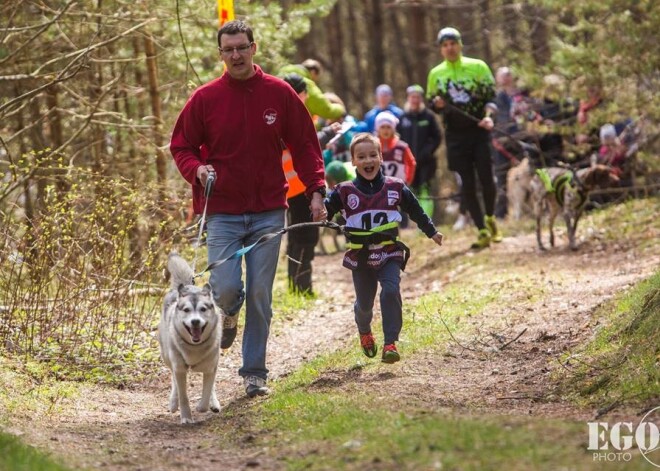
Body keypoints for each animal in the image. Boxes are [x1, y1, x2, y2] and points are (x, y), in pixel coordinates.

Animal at [159, 254, 222, 424]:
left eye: (203, 309)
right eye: (186, 310)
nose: (195, 321)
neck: (195, 348)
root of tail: (187, 286)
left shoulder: (211, 367)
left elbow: (207, 390)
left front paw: (202, 407)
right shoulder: (179, 368)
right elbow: (183, 395)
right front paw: (186, 416)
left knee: (212, 385)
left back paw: (214, 403)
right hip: (167, 356)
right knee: (173, 379)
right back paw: (173, 403)